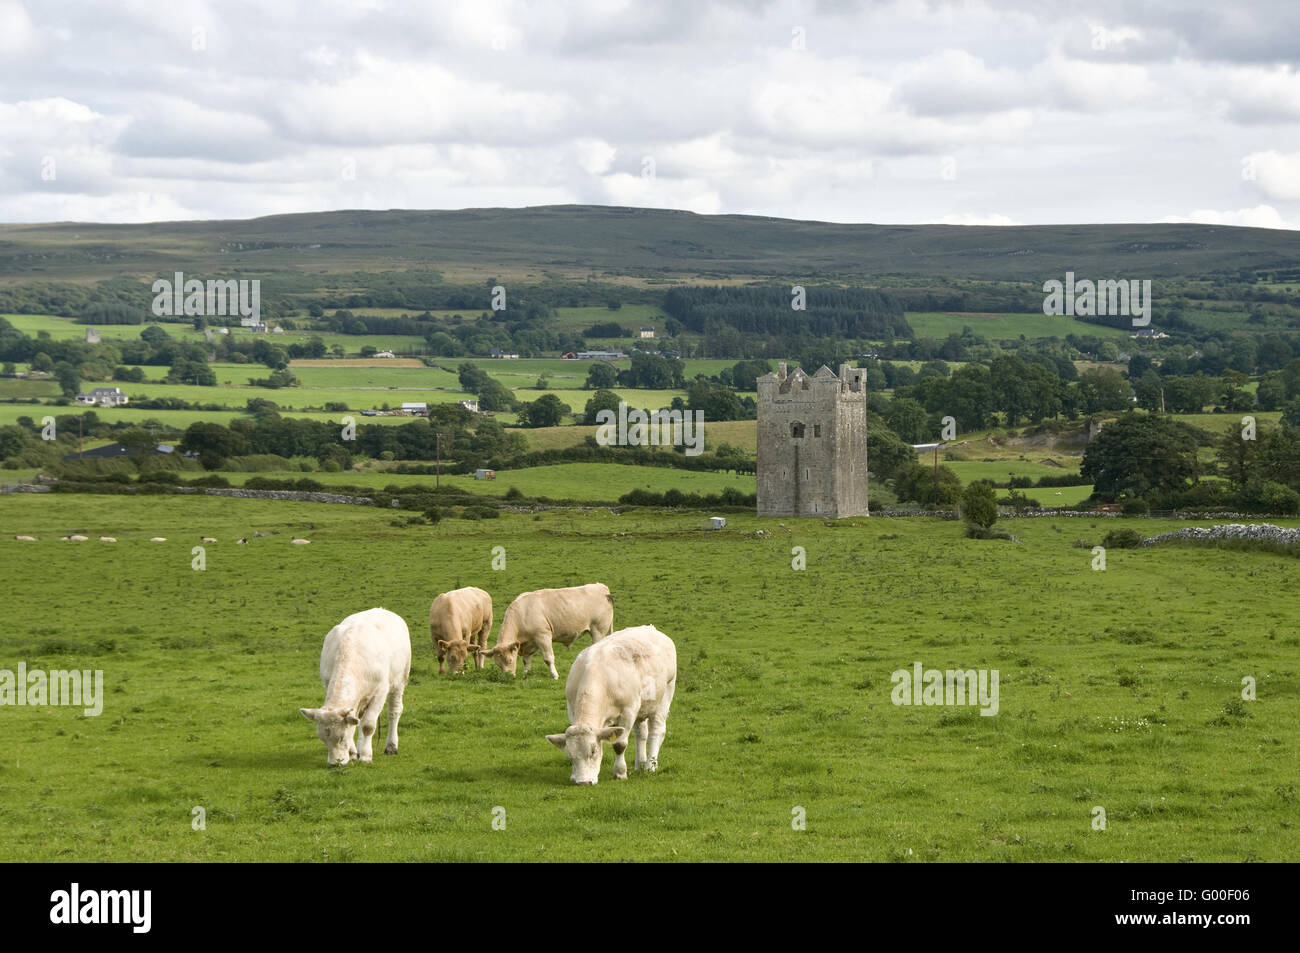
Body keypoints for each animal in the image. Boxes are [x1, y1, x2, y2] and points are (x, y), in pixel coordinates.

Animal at [300, 608, 410, 764]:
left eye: (341, 737)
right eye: (323, 739)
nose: (335, 763)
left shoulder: (380, 692)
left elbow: (368, 726)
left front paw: (365, 756)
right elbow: (356, 724)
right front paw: (353, 753)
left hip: (400, 681)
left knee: (394, 712)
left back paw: (391, 746)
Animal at [543, 624, 676, 780]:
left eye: (593, 751)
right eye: (570, 756)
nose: (583, 782)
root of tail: (651, 628)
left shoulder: (628, 711)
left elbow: (620, 745)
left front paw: (620, 773)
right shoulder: (572, 710)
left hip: (664, 698)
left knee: (656, 731)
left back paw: (651, 766)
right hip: (642, 707)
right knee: (641, 734)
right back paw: (640, 764)